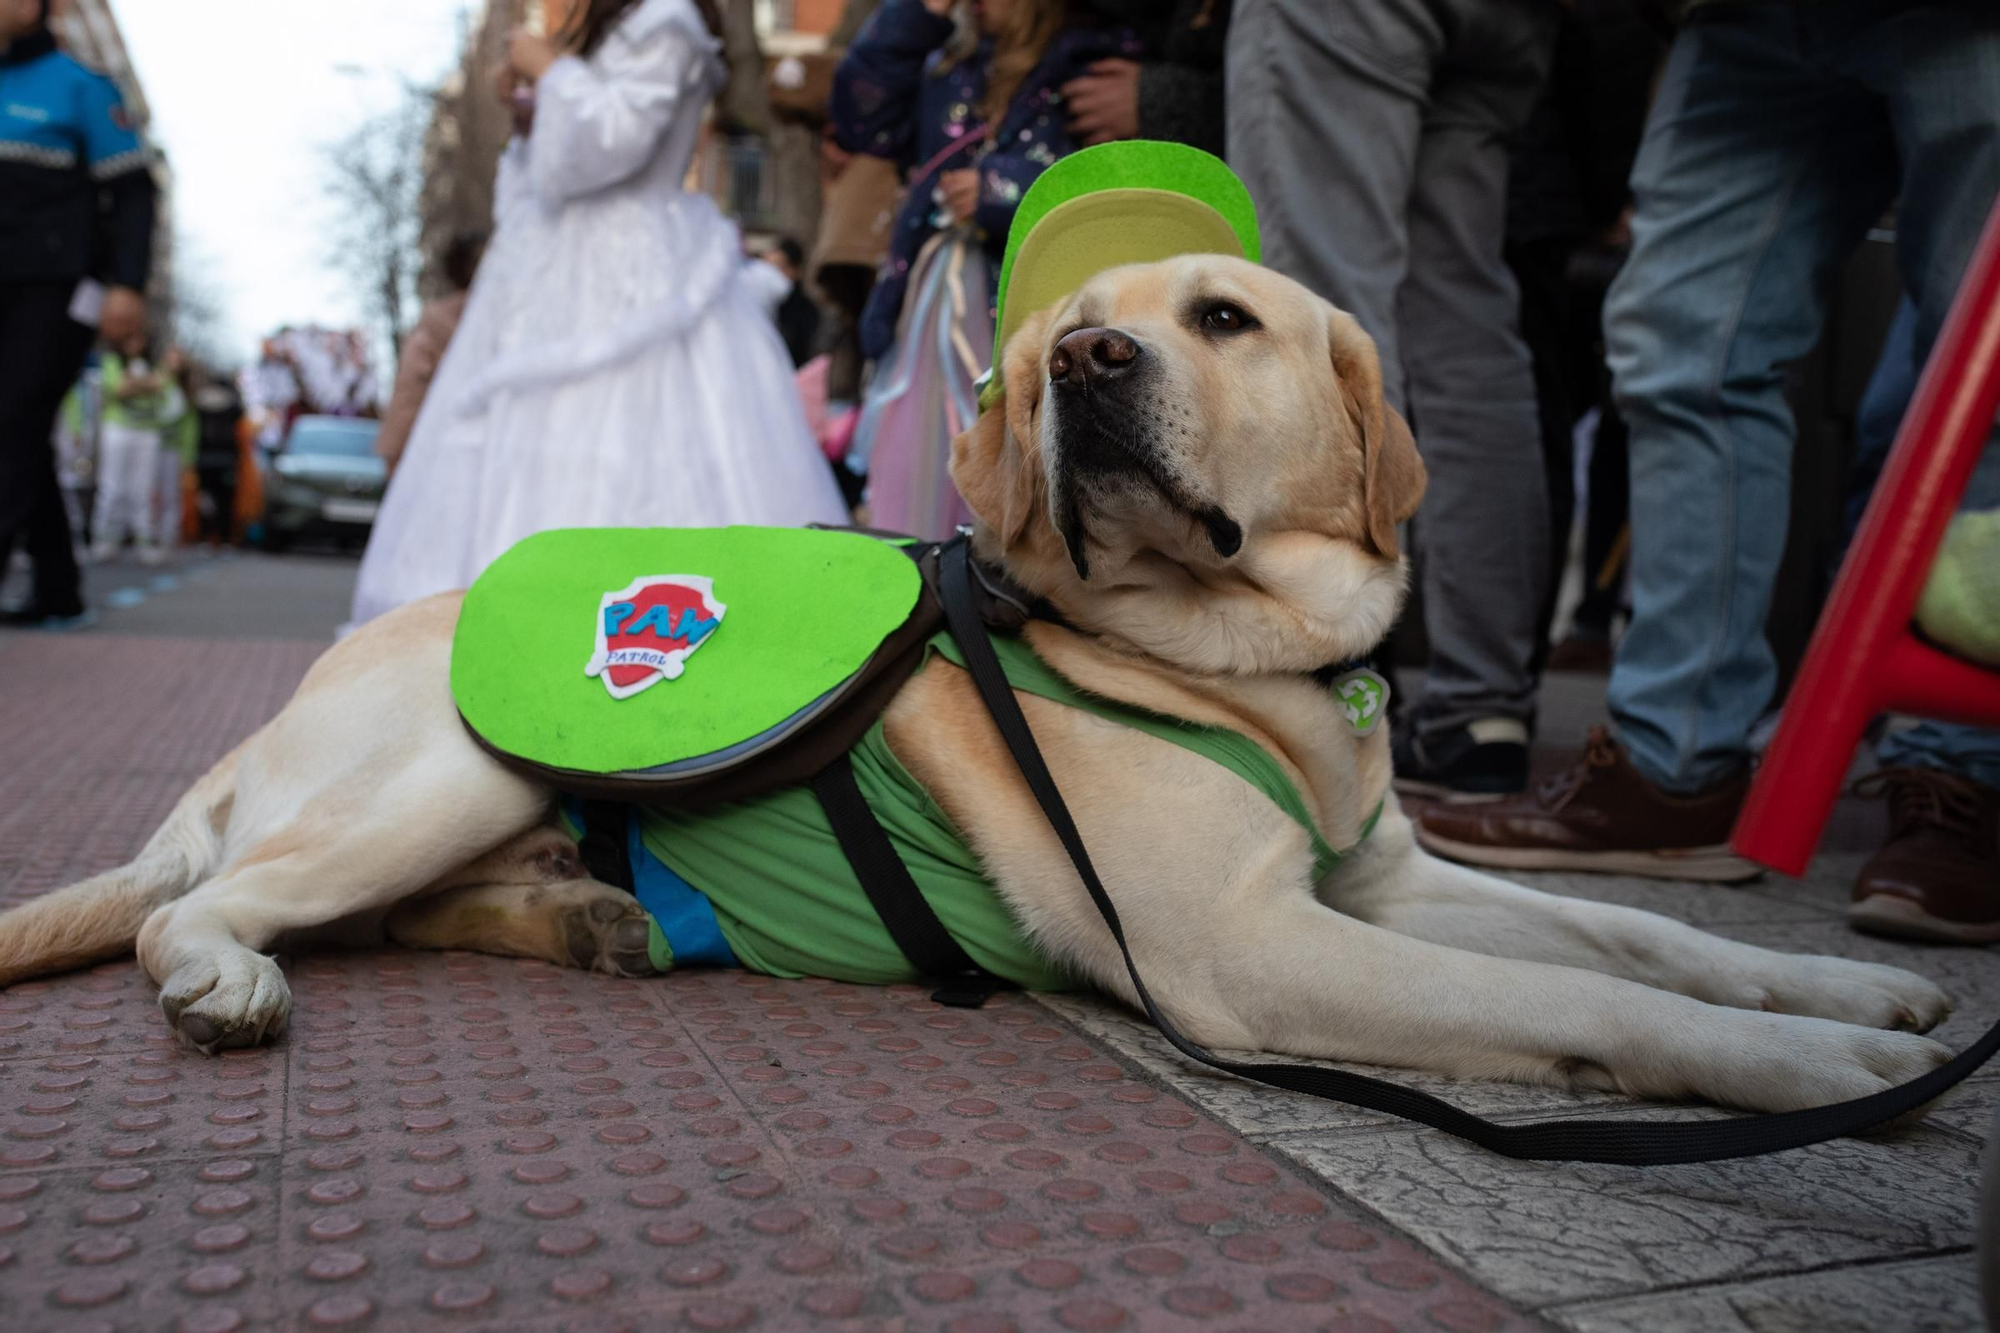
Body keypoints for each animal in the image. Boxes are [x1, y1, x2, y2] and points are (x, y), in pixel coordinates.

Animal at [0, 254, 1944, 1112]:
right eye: (1055, 339)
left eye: (1222, 318)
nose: (1086, 365)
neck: (1248, 667)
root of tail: (254, 735)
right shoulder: (1253, 951)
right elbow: (1594, 1000)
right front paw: (1824, 1072)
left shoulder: (1381, 878)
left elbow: (1643, 935)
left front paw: (1852, 998)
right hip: (461, 764)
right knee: (212, 907)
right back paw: (229, 977)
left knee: (402, 909)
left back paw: (591, 917)